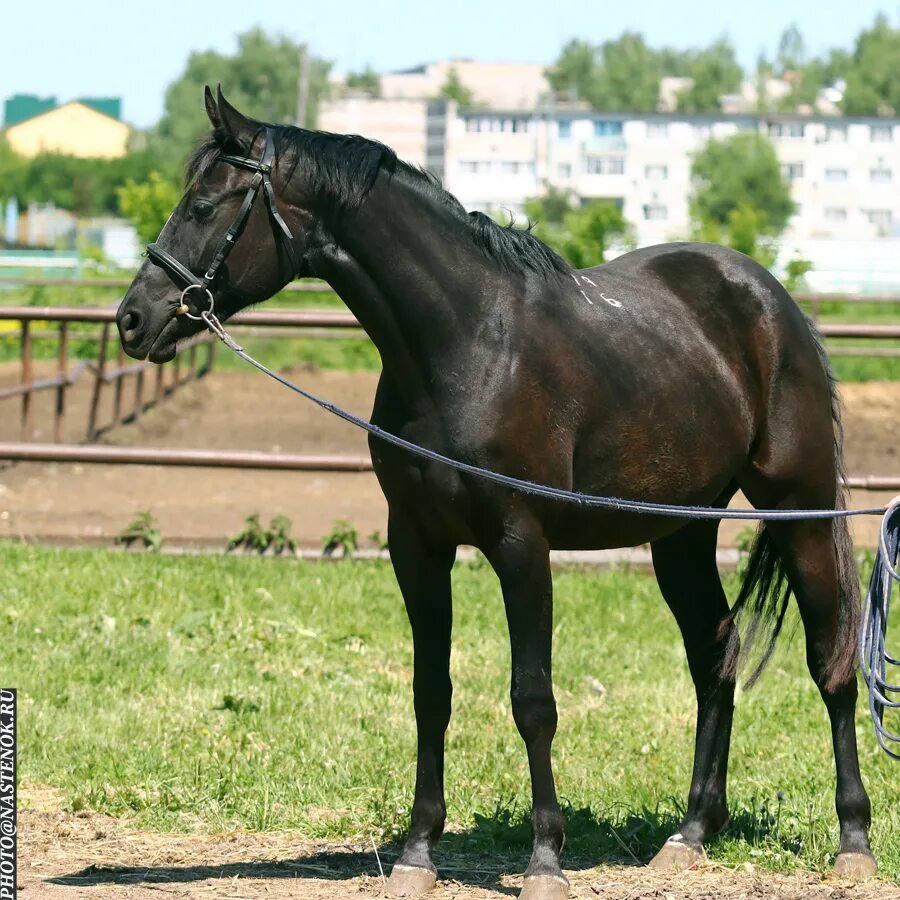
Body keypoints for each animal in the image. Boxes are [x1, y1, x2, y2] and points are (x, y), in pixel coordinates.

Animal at [116, 86, 876, 900]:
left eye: (205, 205)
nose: (133, 319)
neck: (469, 344)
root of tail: (772, 301)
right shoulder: (416, 543)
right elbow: (431, 692)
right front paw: (418, 852)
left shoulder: (521, 544)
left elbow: (532, 699)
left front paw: (545, 859)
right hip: (681, 531)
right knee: (716, 657)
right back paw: (691, 834)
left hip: (798, 509)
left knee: (830, 660)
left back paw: (853, 842)